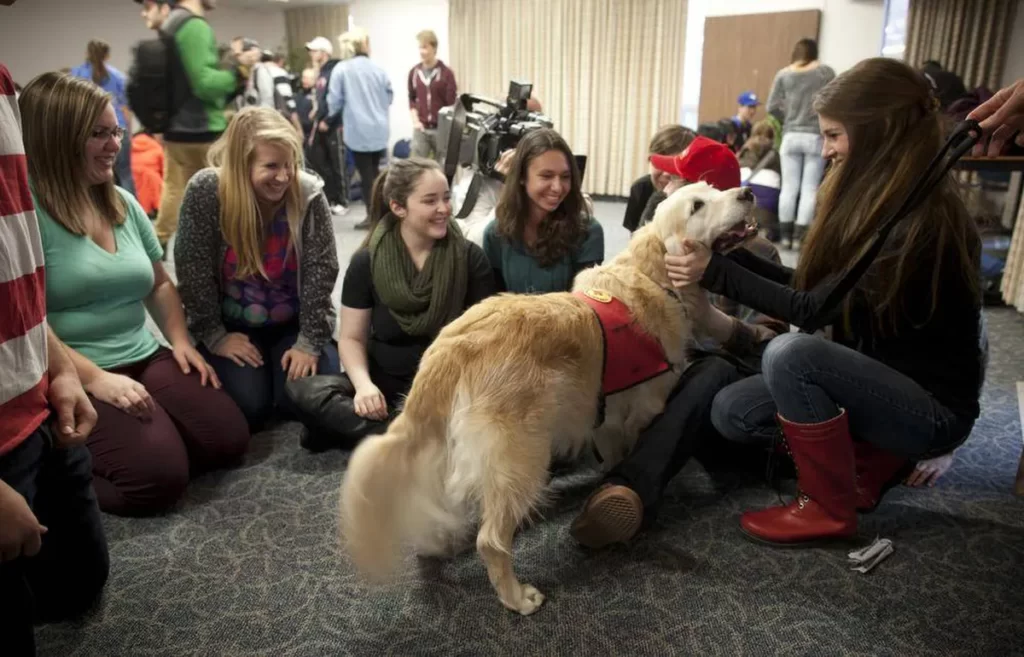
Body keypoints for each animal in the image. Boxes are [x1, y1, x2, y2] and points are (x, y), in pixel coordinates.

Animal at [339, 180, 757, 614]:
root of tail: (453, 345)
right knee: (491, 540)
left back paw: (439, 543)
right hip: (522, 455)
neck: (655, 278)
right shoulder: (644, 407)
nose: (746, 193)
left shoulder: (604, 417)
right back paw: (517, 597)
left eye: (712, 188)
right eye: (698, 205)